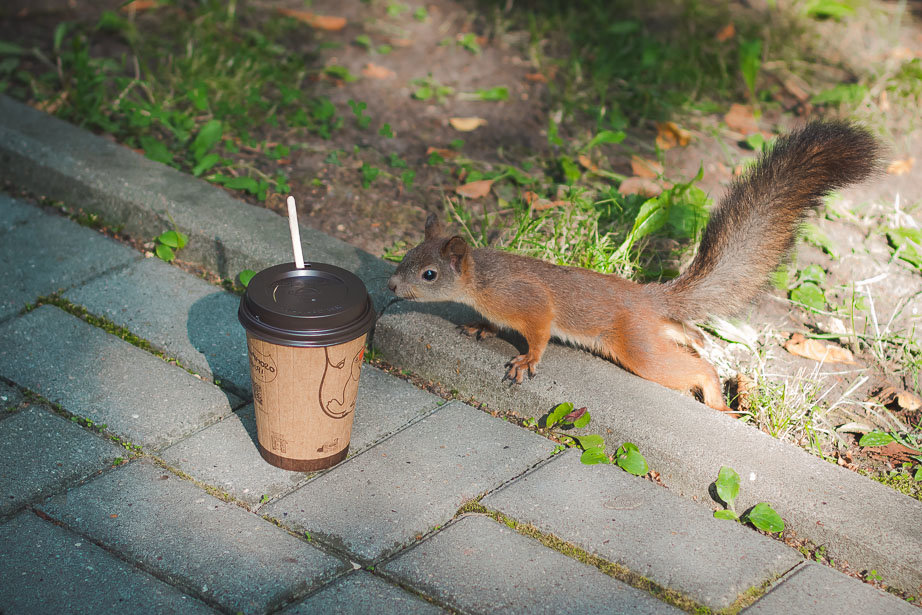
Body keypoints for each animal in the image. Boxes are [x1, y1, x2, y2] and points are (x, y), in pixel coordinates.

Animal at [386, 121, 876, 414]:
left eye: (429, 274)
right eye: (407, 256)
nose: (390, 285)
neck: (481, 279)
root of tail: (646, 298)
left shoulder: (526, 298)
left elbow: (540, 329)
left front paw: (527, 359)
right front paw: (481, 327)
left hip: (638, 347)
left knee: (693, 369)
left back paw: (716, 400)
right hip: (653, 333)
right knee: (686, 335)